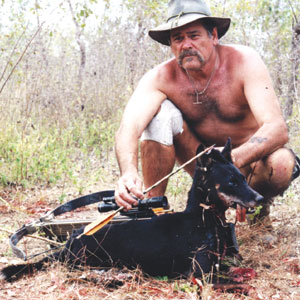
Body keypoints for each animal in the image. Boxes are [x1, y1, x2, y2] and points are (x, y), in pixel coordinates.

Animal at [1, 138, 262, 282]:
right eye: (231, 182)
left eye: (242, 177)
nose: (259, 198)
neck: (202, 219)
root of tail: (70, 242)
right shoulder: (200, 274)